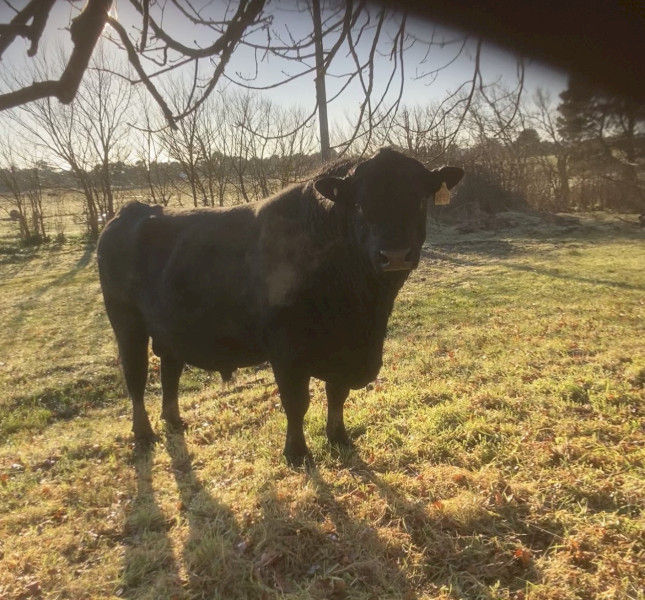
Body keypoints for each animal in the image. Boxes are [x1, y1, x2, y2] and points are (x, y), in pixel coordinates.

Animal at [97, 148, 464, 465]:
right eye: (359, 205)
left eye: (420, 200)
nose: (396, 254)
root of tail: (130, 211)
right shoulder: (286, 349)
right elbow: (296, 402)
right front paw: (297, 453)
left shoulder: (342, 349)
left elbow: (337, 394)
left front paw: (339, 438)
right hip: (126, 324)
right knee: (136, 377)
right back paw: (143, 434)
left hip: (168, 328)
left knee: (169, 370)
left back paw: (174, 420)